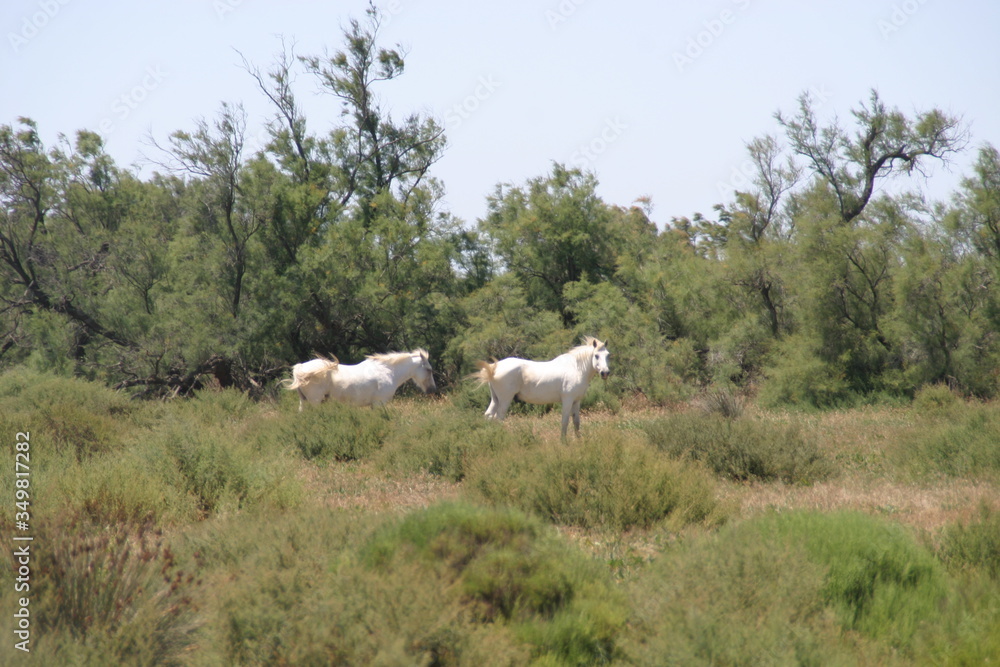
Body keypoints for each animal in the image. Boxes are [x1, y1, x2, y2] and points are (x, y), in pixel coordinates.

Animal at [285, 349, 437, 410]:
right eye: (429, 370)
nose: (432, 390)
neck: (388, 371)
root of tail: (301, 368)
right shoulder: (379, 403)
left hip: (304, 401)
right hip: (315, 401)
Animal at [473, 337, 610, 438]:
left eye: (608, 355)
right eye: (596, 355)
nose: (605, 372)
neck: (576, 368)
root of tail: (494, 367)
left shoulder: (576, 401)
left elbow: (576, 422)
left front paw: (579, 440)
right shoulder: (567, 400)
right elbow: (565, 421)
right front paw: (563, 442)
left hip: (495, 399)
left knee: (489, 416)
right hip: (505, 399)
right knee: (499, 418)